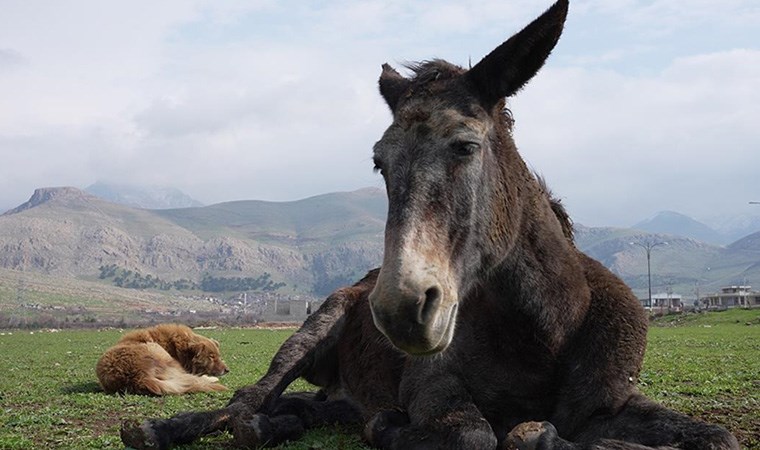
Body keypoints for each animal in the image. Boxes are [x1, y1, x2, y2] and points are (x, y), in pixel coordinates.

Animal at [95, 324, 227, 394]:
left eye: (218, 356)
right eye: (211, 357)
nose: (227, 370)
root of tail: (139, 377)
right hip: (158, 351)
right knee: (189, 378)